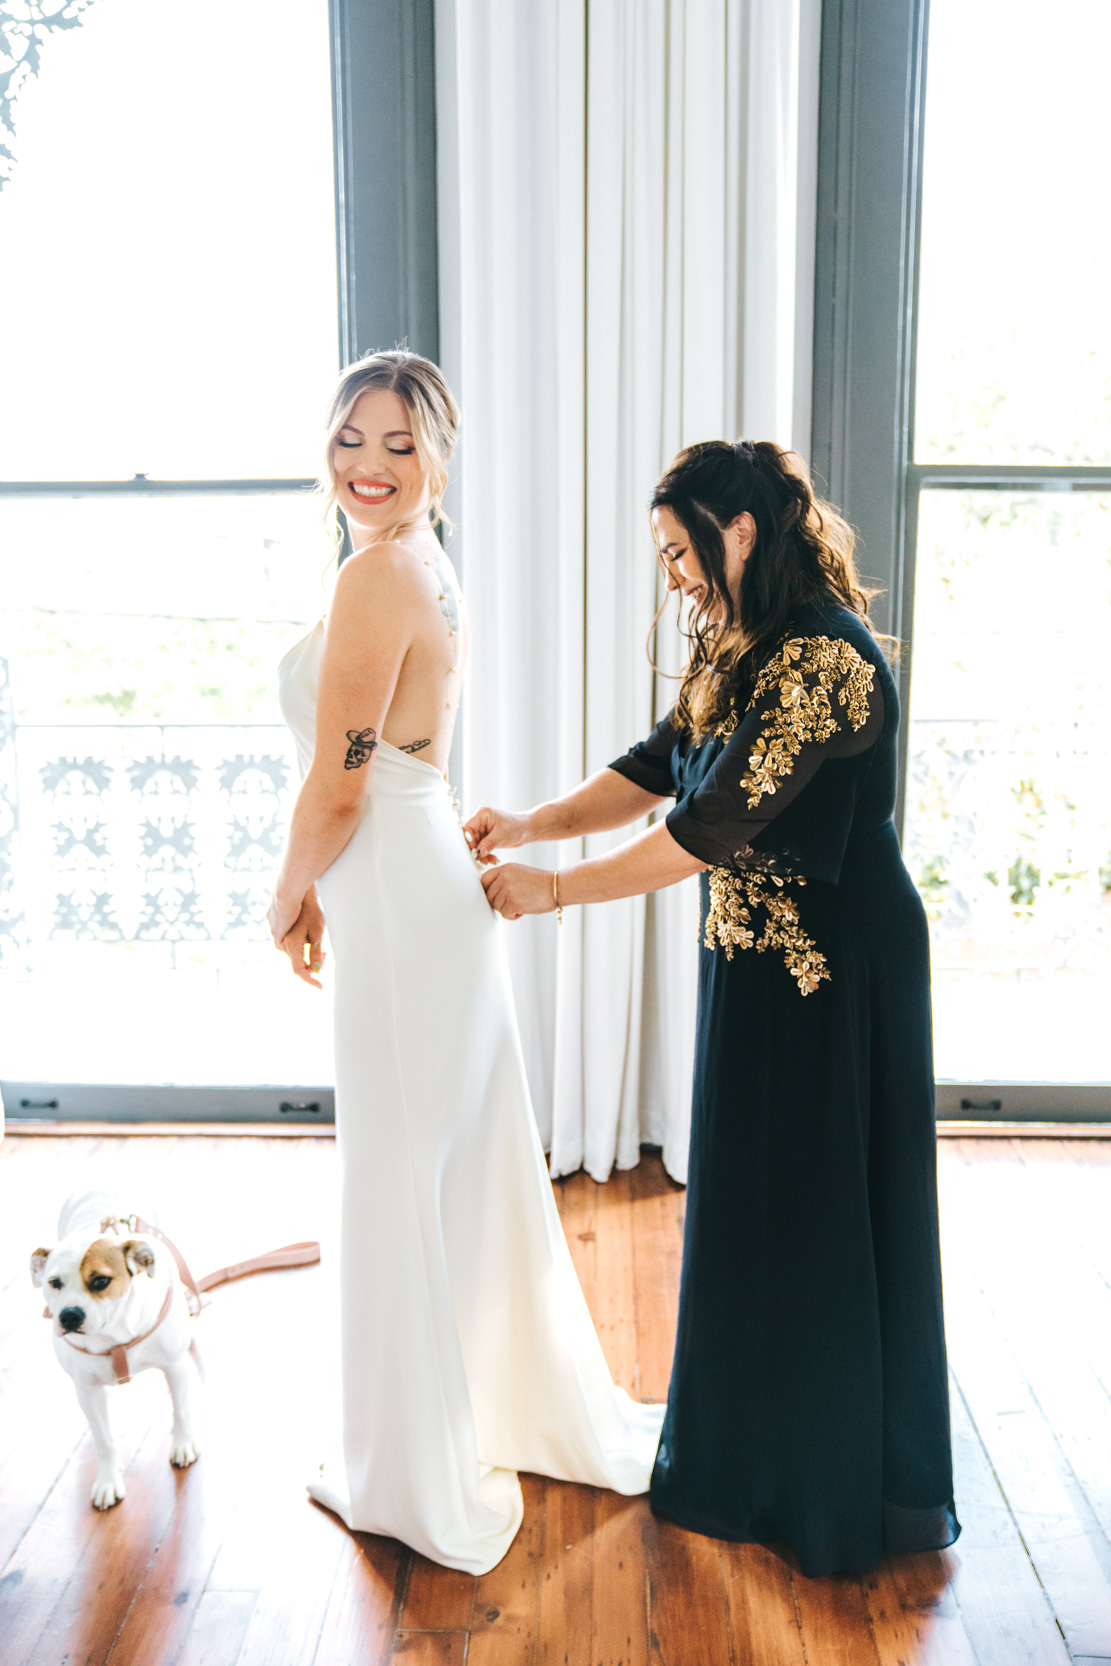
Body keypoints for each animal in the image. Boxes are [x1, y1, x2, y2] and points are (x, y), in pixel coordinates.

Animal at [30, 1186, 199, 1512]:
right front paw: (109, 1480)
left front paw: (183, 1443)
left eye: (100, 1281)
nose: (69, 1315)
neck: (114, 1333)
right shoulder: (87, 1390)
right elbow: (104, 1440)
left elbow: (182, 1410)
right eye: (53, 1283)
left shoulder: (175, 1366)